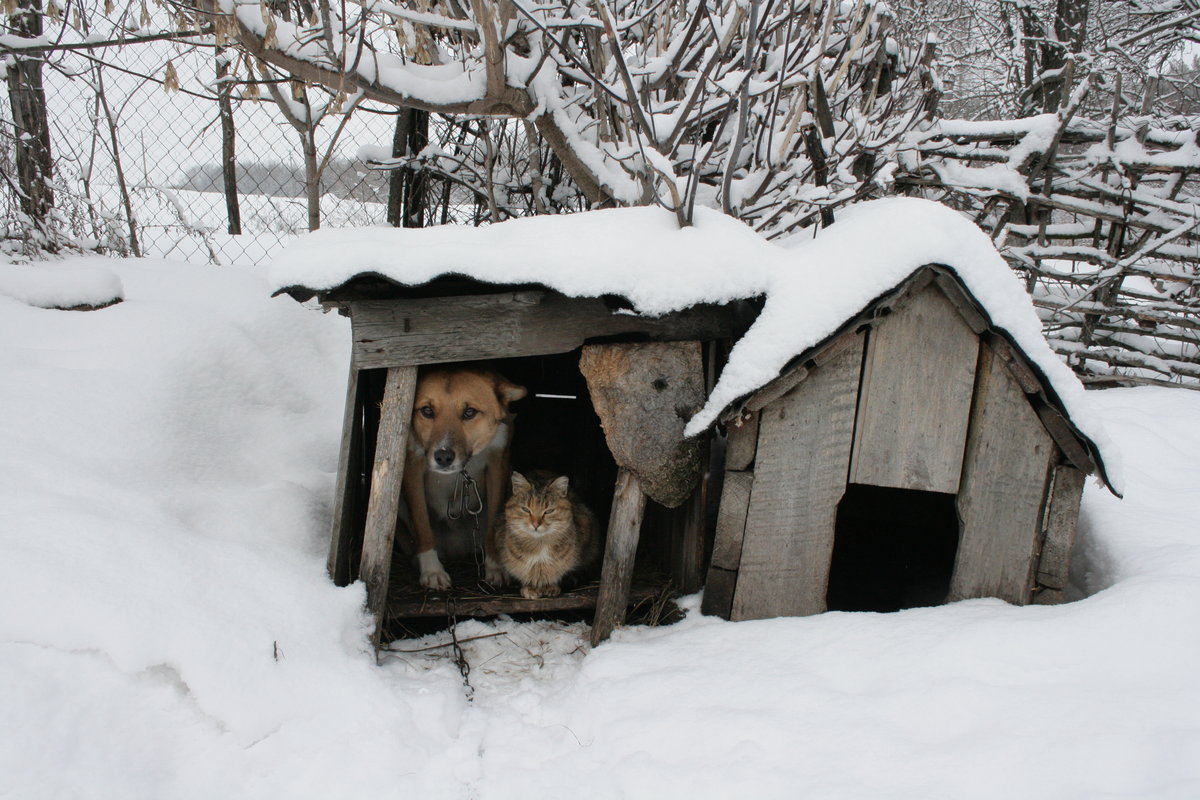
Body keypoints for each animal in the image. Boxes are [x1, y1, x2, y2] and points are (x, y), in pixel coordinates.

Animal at [403, 367, 525, 592]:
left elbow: (494, 521)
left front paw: (496, 567)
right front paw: (432, 570)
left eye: (469, 412)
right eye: (427, 411)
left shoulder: (498, 464)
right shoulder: (411, 466)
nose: (443, 456)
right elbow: (422, 523)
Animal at [499, 470, 600, 599]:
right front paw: (528, 588)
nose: (535, 524)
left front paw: (551, 587)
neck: (539, 545)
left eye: (549, 511)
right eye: (526, 509)